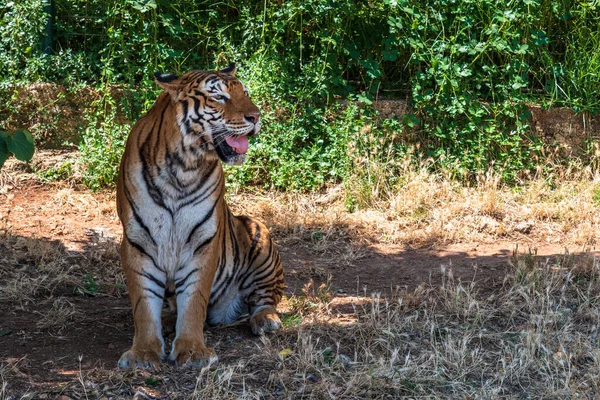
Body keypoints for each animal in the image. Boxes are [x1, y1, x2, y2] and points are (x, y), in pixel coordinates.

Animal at [117, 63, 288, 368]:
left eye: (245, 93)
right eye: (219, 97)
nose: (256, 116)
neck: (183, 166)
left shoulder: (203, 241)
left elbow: (194, 301)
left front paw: (193, 351)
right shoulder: (137, 242)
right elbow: (143, 304)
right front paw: (143, 354)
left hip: (259, 235)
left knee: (265, 298)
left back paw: (266, 321)